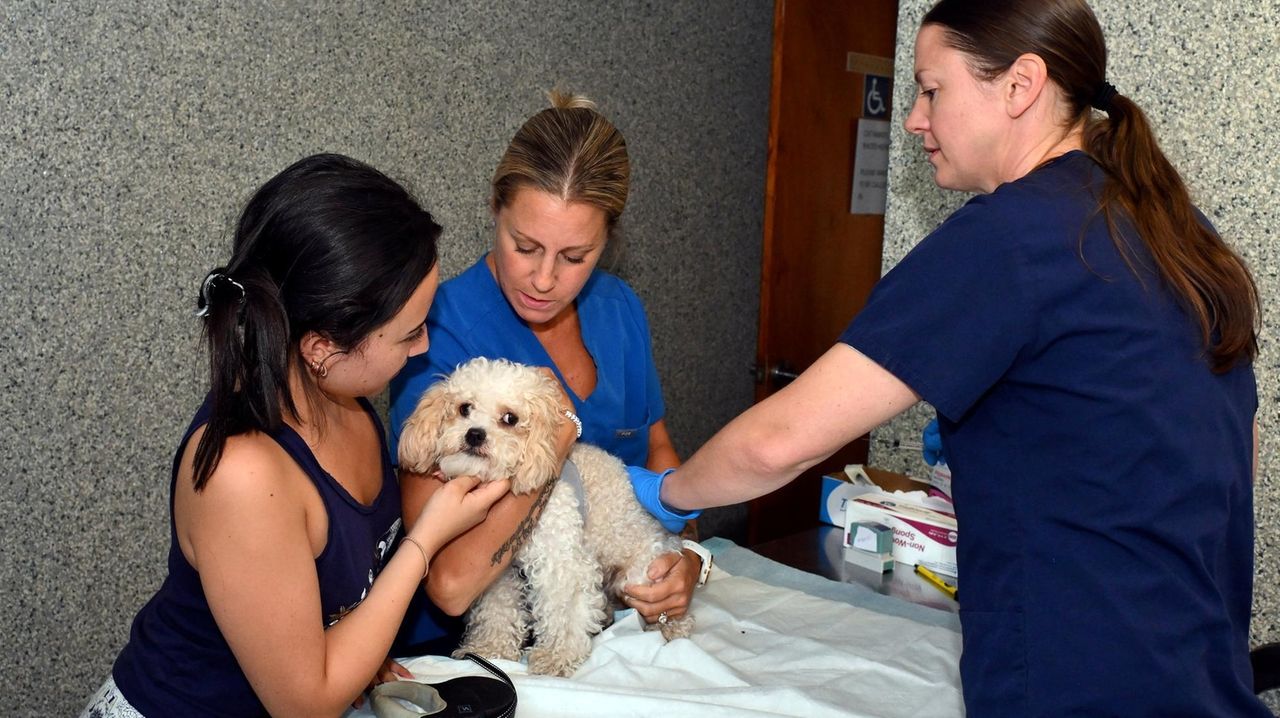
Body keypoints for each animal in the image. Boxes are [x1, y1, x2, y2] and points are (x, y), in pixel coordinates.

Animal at [398, 357, 694, 676]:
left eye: (510, 418)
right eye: (464, 408)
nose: (474, 434)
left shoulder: (561, 560)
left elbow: (562, 610)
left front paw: (556, 656)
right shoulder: (497, 573)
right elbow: (497, 612)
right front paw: (490, 649)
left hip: (640, 575)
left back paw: (672, 627)